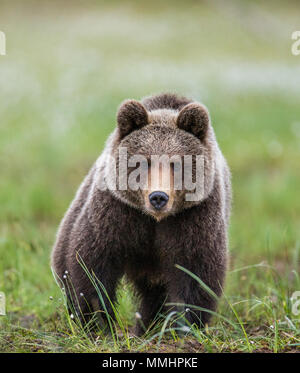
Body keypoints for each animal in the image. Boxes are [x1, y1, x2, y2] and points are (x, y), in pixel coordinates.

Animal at [50, 93, 231, 334]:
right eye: (144, 162)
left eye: (177, 163)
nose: (158, 197)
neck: (154, 220)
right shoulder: (117, 213)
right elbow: (92, 264)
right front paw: (98, 321)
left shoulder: (193, 217)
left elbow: (195, 273)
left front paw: (183, 325)